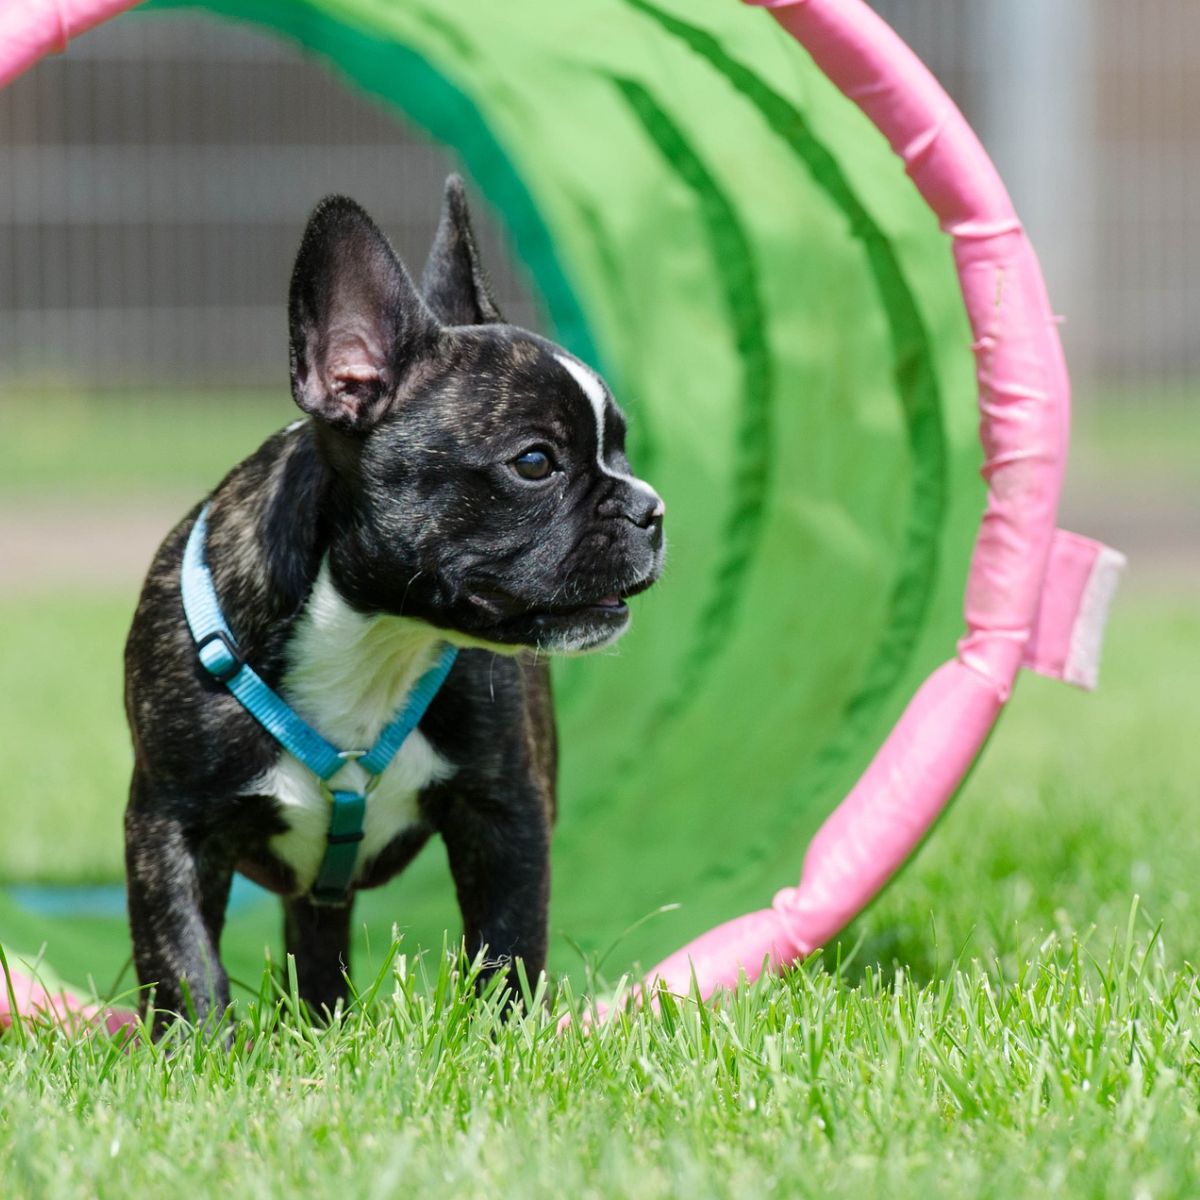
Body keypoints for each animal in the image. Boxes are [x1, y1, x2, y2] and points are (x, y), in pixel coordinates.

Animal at [124, 177, 667, 1032]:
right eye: (535, 462)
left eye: (620, 450)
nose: (650, 507)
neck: (373, 632)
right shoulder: (170, 825)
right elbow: (182, 961)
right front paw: (199, 1049)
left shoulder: (505, 813)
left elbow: (509, 943)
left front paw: (501, 1040)